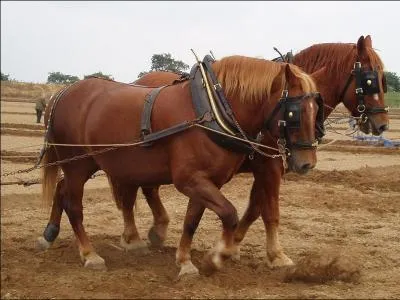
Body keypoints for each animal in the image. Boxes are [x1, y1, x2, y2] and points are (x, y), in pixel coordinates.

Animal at [38, 55, 322, 276]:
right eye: (294, 112)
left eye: (316, 108)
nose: (306, 163)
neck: (212, 110)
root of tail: (61, 94)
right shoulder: (189, 180)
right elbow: (230, 213)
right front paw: (218, 256)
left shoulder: (205, 180)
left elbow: (192, 220)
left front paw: (185, 261)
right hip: (77, 165)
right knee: (74, 206)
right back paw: (89, 254)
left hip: (87, 164)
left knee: (63, 189)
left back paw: (51, 233)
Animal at [124, 34, 388, 268]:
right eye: (370, 79)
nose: (383, 124)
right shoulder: (268, 167)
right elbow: (269, 210)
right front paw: (275, 255)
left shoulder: (268, 168)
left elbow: (254, 208)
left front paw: (233, 245)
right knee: (143, 187)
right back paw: (149, 232)